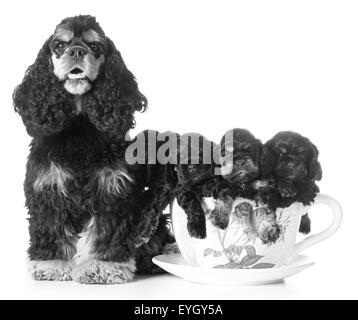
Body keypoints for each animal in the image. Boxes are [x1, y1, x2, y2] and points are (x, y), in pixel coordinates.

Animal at [14, 15, 174, 284]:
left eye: (95, 46)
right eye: (60, 45)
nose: (77, 51)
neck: (80, 126)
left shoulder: (112, 189)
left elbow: (104, 231)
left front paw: (101, 266)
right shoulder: (48, 187)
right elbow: (51, 228)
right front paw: (52, 264)